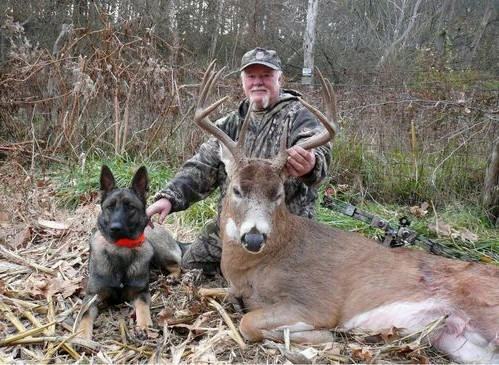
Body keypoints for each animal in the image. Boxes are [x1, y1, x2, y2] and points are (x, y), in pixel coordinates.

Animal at [76, 165, 182, 338]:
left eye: (130, 207)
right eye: (110, 207)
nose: (115, 228)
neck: (120, 248)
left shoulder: (141, 292)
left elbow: (143, 306)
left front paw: (144, 324)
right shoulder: (92, 297)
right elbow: (85, 315)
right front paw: (81, 335)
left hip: (158, 250)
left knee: (178, 265)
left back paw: (173, 276)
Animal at [193, 61, 498, 362]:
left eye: (277, 193)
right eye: (236, 190)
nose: (254, 238)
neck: (254, 267)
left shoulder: (316, 302)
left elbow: (249, 323)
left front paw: (315, 339)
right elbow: (213, 294)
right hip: (459, 343)